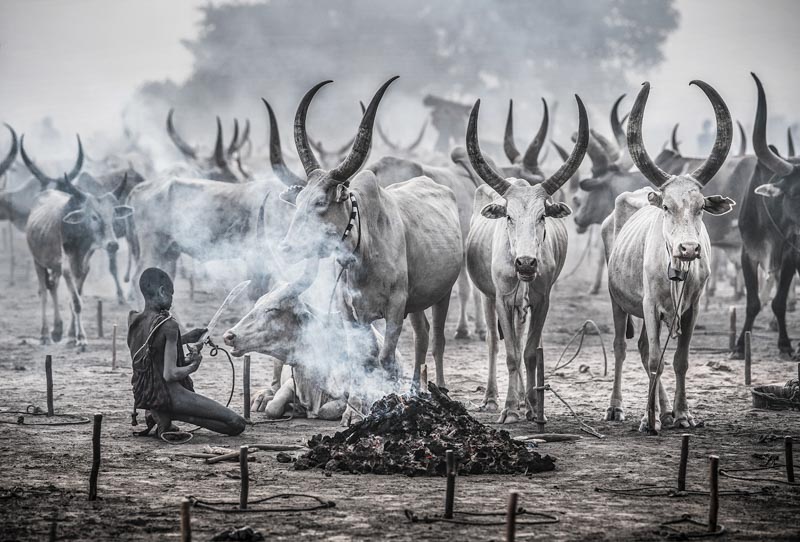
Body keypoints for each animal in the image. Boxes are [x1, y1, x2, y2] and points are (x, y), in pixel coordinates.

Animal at [25, 167, 132, 347]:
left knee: (53, 286)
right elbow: (76, 302)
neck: (80, 239)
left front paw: (70, 336)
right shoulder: (67, 268)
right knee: (44, 293)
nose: (113, 244)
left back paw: (57, 330)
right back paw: (45, 334)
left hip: (55, 267)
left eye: (113, 216)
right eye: (94, 216)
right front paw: (81, 338)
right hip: (37, 261)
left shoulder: (83, 268)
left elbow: (74, 300)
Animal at [276, 77, 463, 390]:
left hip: (443, 293)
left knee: (437, 340)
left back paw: (438, 386)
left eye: (321, 203)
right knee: (422, 335)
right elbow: (363, 361)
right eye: (299, 200)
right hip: (417, 300)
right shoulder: (353, 316)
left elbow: (385, 360)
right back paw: (416, 387)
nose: (286, 249)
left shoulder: (395, 309)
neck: (363, 254)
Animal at [465, 95, 589, 423]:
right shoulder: (503, 298)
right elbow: (510, 353)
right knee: (494, 342)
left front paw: (533, 407)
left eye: (542, 215)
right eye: (508, 216)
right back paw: (493, 398)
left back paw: (522, 398)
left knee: (520, 342)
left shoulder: (541, 299)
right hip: (487, 296)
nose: (525, 263)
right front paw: (508, 409)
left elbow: (529, 352)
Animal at [604, 80, 734, 434]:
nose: (688, 249)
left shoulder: (693, 308)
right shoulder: (649, 305)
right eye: (666, 206)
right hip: (617, 301)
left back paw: (663, 411)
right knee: (623, 348)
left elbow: (679, 361)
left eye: (701, 207)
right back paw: (617, 407)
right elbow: (653, 361)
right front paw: (646, 420)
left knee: (646, 349)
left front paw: (682, 414)